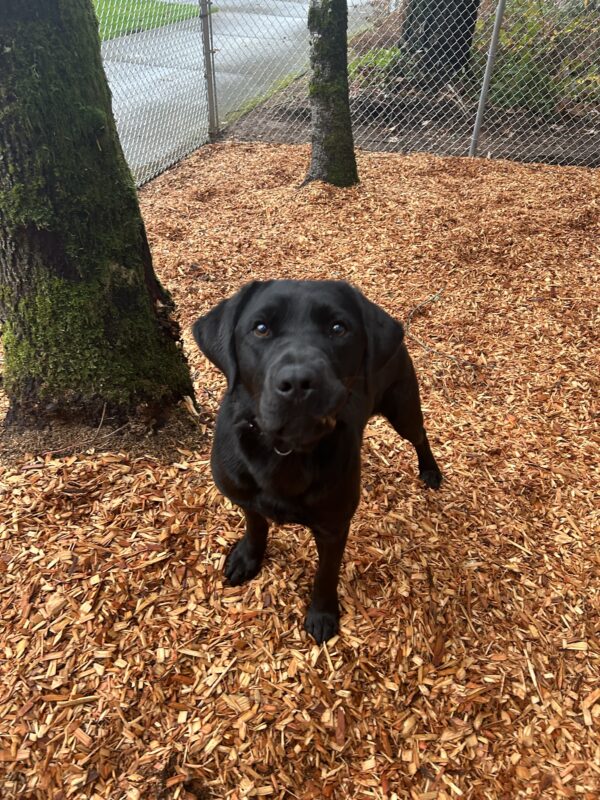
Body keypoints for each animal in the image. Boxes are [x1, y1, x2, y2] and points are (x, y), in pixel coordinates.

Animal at [193, 282, 440, 644]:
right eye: (261, 328)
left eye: (338, 328)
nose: (298, 382)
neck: (285, 451)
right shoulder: (245, 496)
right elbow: (256, 525)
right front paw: (248, 557)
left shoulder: (333, 526)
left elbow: (326, 573)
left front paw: (322, 614)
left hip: (402, 406)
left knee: (420, 435)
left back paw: (430, 470)